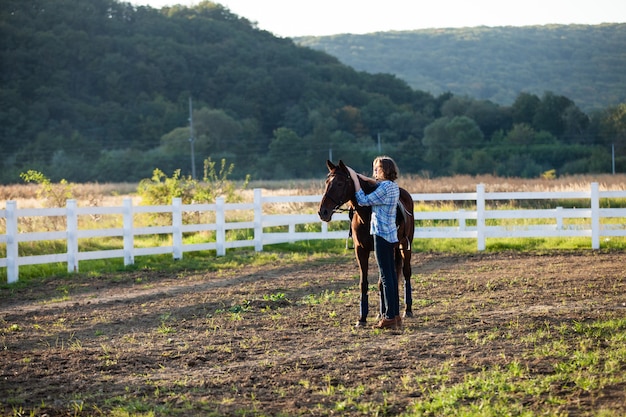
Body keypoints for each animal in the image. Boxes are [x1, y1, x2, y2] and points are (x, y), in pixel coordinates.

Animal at [316, 159, 414, 324]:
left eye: (340, 183)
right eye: (327, 182)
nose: (323, 212)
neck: (366, 214)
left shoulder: (383, 249)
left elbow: (382, 282)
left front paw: (383, 313)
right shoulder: (361, 250)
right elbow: (364, 283)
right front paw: (362, 317)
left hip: (405, 246)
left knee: (406, 273)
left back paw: (407, 310)